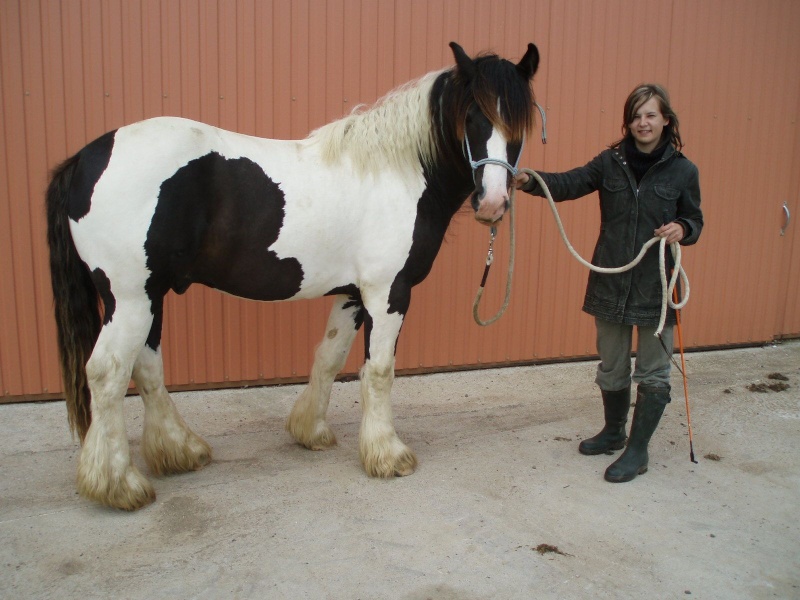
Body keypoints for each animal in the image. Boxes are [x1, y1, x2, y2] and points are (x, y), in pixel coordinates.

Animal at [47, 42, 540, 510]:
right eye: (472, 115)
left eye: (521, 122)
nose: (493, 203)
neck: (395, 171)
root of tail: (85, 158)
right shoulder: (388, 293)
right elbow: (379, 371)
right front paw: (388, 455)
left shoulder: (352, 294)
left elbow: (329, 358)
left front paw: (311, 431)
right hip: (131, 297)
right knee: (107, 373)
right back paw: (119, 485)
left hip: (150, 295)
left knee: (146, 367)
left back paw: (180, 451)